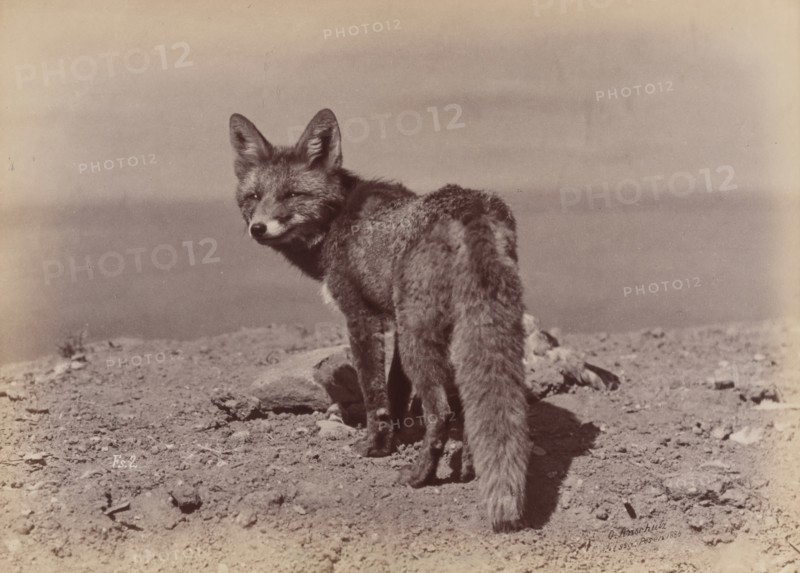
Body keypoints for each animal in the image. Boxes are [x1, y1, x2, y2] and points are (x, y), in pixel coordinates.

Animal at [228, 108, 531, 532]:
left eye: (293, 195)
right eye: (253, 197)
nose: (258, 228)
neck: (336, 222)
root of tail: (471, 206)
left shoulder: (362, 317)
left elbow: (374, 391)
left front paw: (375, 446)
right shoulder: (395, 321)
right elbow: (396, 388)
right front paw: (396, 437)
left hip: (421, 336)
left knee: (441, 411)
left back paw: (420, 476)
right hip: (457, 329)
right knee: (470, 408)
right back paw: (468, 468)